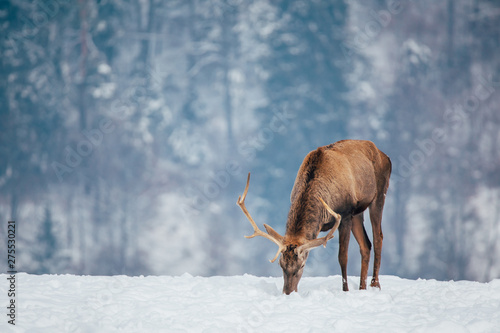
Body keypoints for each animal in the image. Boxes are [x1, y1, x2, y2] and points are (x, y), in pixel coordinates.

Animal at [236, 139, 392, 294]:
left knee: (378, 238)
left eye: (302, 265)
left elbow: (343, 256)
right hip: (358, 213)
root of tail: (386, 157)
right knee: (366, 245)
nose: (288, 292)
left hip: (379, 194)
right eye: (281, 264)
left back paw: (375, 285)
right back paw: (362, 288)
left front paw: (345, 291)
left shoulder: (345, 214)